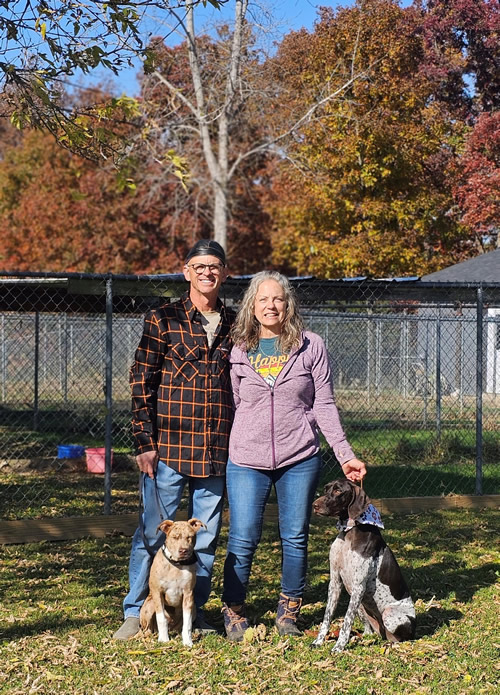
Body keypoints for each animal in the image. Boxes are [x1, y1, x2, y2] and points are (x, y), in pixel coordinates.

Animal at [139, 520, 205, 648]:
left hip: (193, 608)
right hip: (149, 606)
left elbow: (187, 623)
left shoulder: (188, 594)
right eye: (175, 537)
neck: (176, 564)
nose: (183, 550)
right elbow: (161, 618)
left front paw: (187, 641)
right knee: (147, 629)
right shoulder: (157, 593)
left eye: (190, 537)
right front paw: (164, 639)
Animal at [312, 482, 414, 656]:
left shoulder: (359, 586)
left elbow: (346, 622)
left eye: (338, 490)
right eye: (326, 489)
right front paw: (319, 641)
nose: (314, 505)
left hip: (388, 614)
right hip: (359, 604)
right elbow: (327, 617)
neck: (349, 532)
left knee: (399, 638)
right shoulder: (335, 583)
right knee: (369, 629)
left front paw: (338, 647)